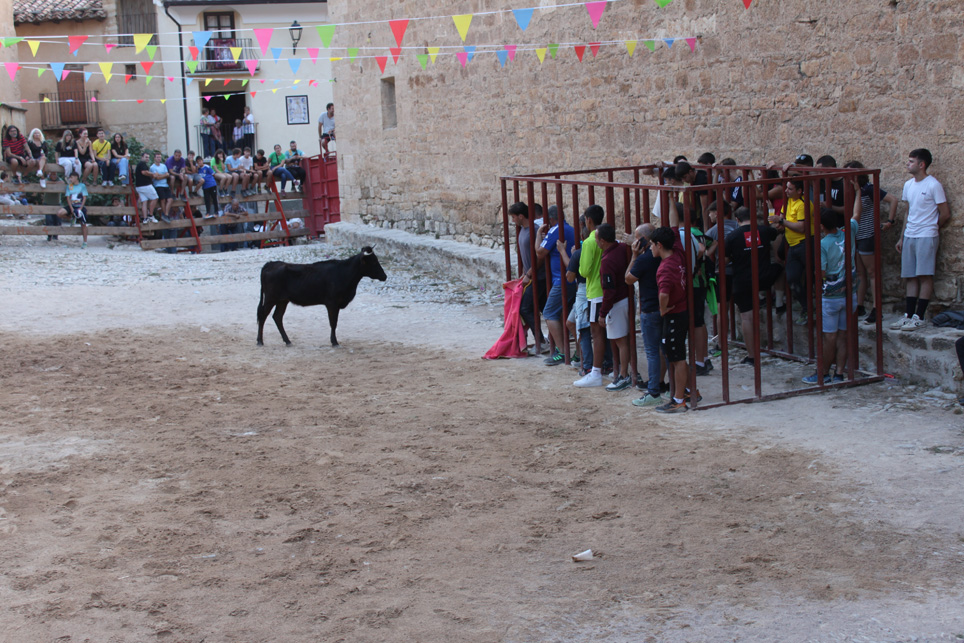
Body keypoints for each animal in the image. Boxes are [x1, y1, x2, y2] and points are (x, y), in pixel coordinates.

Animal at [257, 246, 388, 347]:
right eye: (373, 262)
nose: (384, 276)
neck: (344, 273)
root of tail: (270, 264)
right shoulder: (332, 303)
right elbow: (333, 323)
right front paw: (334, 342)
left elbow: (334, 323)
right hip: (270, 299)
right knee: (263, 316)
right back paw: (260, 341)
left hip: (282, 300)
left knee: (277, 317)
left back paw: (287, 341)